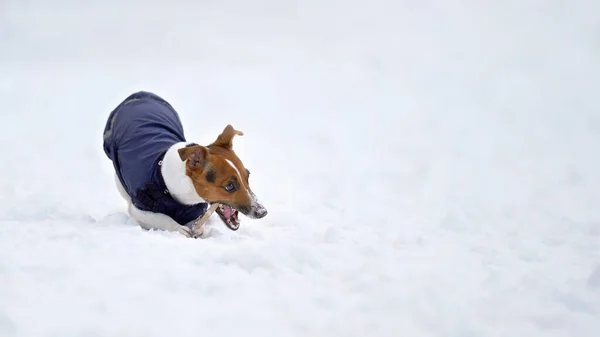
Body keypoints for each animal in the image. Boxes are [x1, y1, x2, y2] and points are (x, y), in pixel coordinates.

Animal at [102, 90, 268, 236]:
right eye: (230, 186)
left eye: (248, 177)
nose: (262, 212)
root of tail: (140, 95)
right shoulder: (141, 209)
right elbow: (162, 219)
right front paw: (180, 229)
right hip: (119, 178)